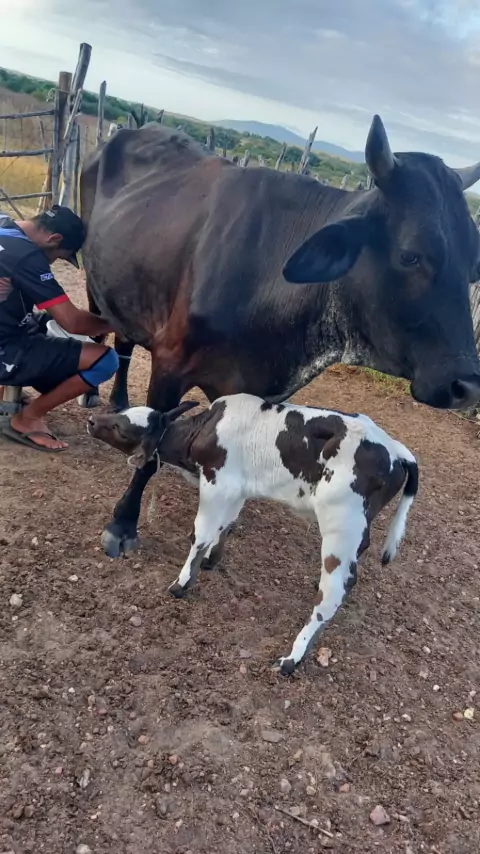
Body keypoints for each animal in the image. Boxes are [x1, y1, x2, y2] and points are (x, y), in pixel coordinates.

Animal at [80, 114, 480, 558]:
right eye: (411, 255)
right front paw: (122, 524)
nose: (466, 386)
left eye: (473, 265)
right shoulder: (169, 363)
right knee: (108, 338)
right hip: (95, 282)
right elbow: (150, 453)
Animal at [87, 393, 418, 673]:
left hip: (341, 526)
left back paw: (291, 659)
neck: (206, 430)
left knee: (334, 591)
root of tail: (397, 450)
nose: (91, 421)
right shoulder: (236, 489)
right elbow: (225, 525)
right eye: (123, 413)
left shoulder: (217, 483)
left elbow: (201, 534)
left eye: (121, 428)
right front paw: (211, 561)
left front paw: (181, 583)